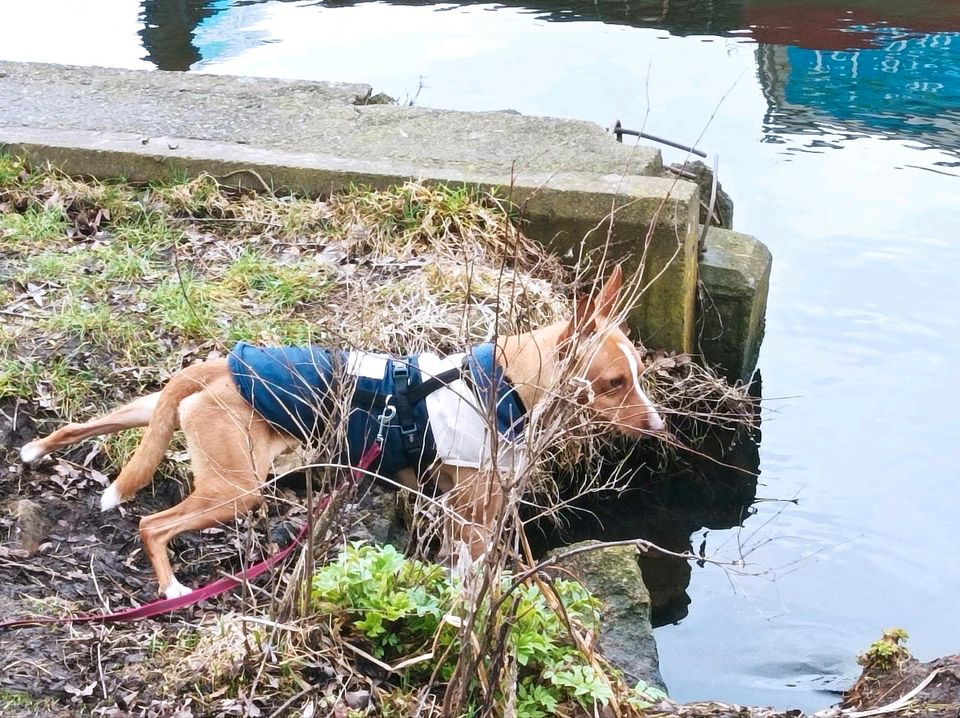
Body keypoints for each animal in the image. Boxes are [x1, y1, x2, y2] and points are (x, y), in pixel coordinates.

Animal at [20, 268, 660, 600]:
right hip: (235, 489)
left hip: (157, 408)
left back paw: (35, 448)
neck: (504, 381)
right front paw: (462, 615)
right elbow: (470, 572)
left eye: (639, 373)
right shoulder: (473, 511)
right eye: (612, 383)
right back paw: (173, 587)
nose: (659, 425)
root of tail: (223, 366)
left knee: (89, 422)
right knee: (152, 525)